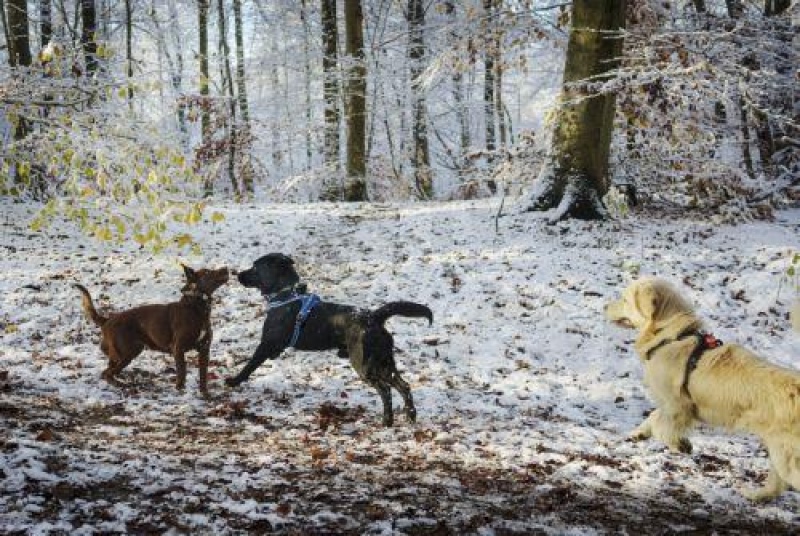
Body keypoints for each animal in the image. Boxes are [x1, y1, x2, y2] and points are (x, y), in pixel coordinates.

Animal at [74, 266, 228, 396]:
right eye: (207, 272)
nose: (226, 268)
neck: (196, 308)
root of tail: (108, 320)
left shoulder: (204, 350)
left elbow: (203, 376)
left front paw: (205, 394)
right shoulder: (178, 349)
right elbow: (182, 373)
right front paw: (180, 391)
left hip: (125, 352)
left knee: (107, 371)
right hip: (127, 352)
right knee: (108, 373)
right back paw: (122, 385)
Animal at [227, 254, 432, 428]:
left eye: (255, 267)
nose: (237, 275)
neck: (286, 295)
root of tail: (373, 317)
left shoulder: (266, 344)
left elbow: (249, 366)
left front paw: (234, 381)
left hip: (364, 364)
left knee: (385, 390)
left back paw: (387, 421)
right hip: (383, 361)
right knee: (403, 385)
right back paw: (410, 416)